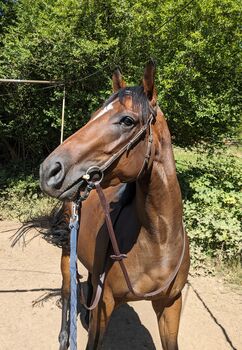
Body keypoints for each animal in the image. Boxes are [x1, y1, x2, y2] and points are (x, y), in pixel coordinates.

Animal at [39, 61, 190, 348]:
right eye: (93, 115)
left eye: (127, 120)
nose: (49, 170)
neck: (159, 240)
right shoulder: (106, 304)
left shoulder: (171, 306)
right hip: (67, 253)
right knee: (67, 290)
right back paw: (64, 336)